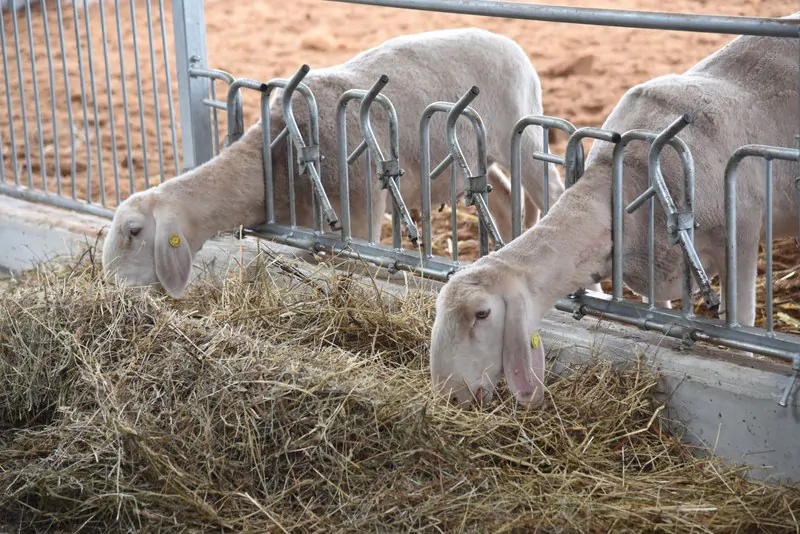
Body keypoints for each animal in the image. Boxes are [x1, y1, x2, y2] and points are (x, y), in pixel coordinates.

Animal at [102, 27, 563, 298]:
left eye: (133, 231)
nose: (110, 286)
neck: (277, 163)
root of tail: (509, 42)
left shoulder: (359, 214)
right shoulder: (308, 227)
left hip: (521, 130)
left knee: (551, 190)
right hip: (478, 155)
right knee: (501, 198)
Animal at [429, 15, 800, 409]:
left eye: (481, 314)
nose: (448, 395)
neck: (631, 184)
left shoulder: (740, 239)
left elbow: (742, 323)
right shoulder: (655, 272)